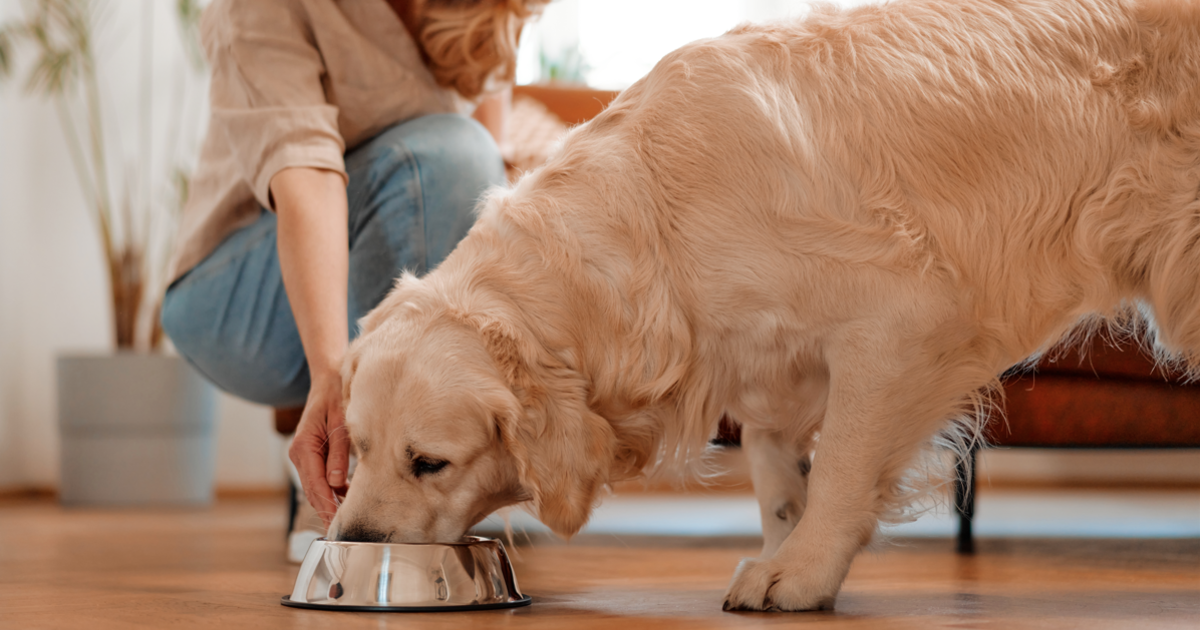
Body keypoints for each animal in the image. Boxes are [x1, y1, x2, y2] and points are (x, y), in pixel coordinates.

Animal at [326, 0, 1200, 609]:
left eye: (430, 463)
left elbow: (843, 461)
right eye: (356, 447)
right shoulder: (766, 359)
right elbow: (780, 476)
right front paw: (788, 549)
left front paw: (803, 576)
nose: (350, 542)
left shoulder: (901, 321)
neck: (658, 221)